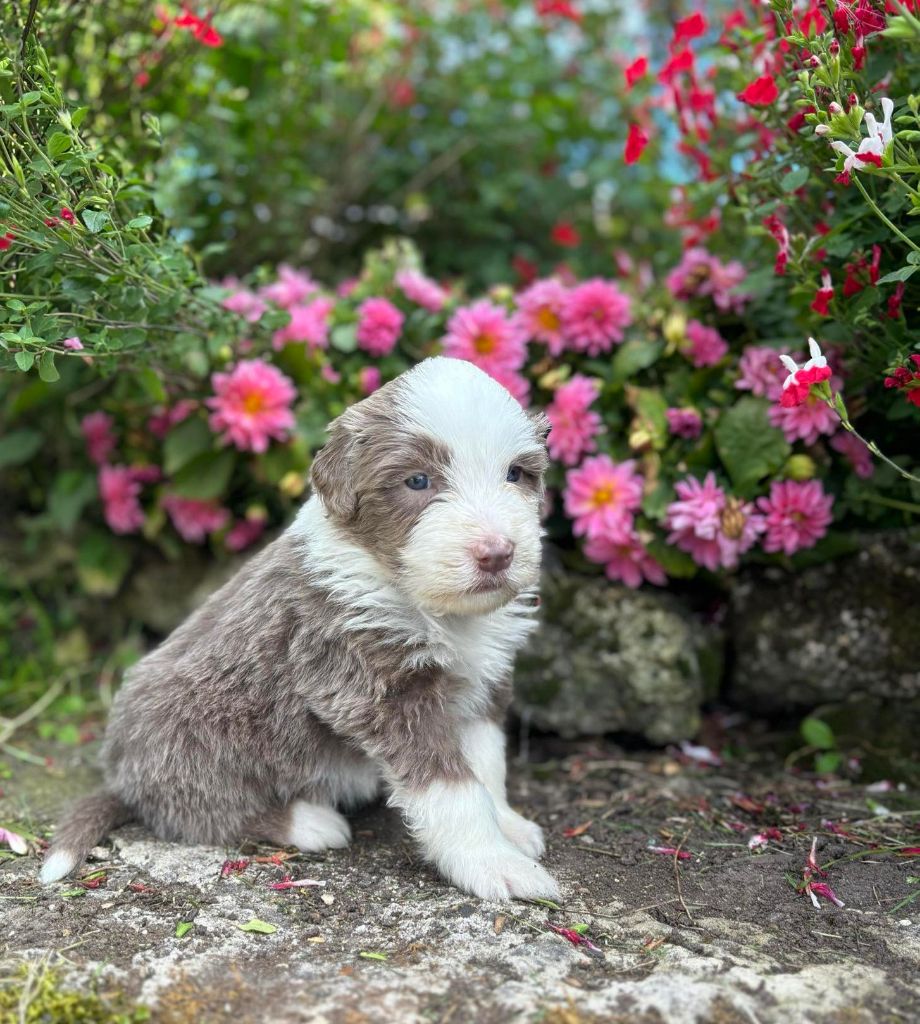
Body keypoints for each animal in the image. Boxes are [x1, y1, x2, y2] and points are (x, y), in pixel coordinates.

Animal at [40, 357, 560, 900]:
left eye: (516, 474)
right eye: (418, 481)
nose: (497, 553)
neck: (437, 610)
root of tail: (121, 778)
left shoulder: (484, 680)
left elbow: (487, 763)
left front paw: (508, 826)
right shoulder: (380, 687)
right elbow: (452, 790)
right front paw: (493, 863)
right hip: (193, 735)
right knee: (200, 810)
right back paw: (308, 821)